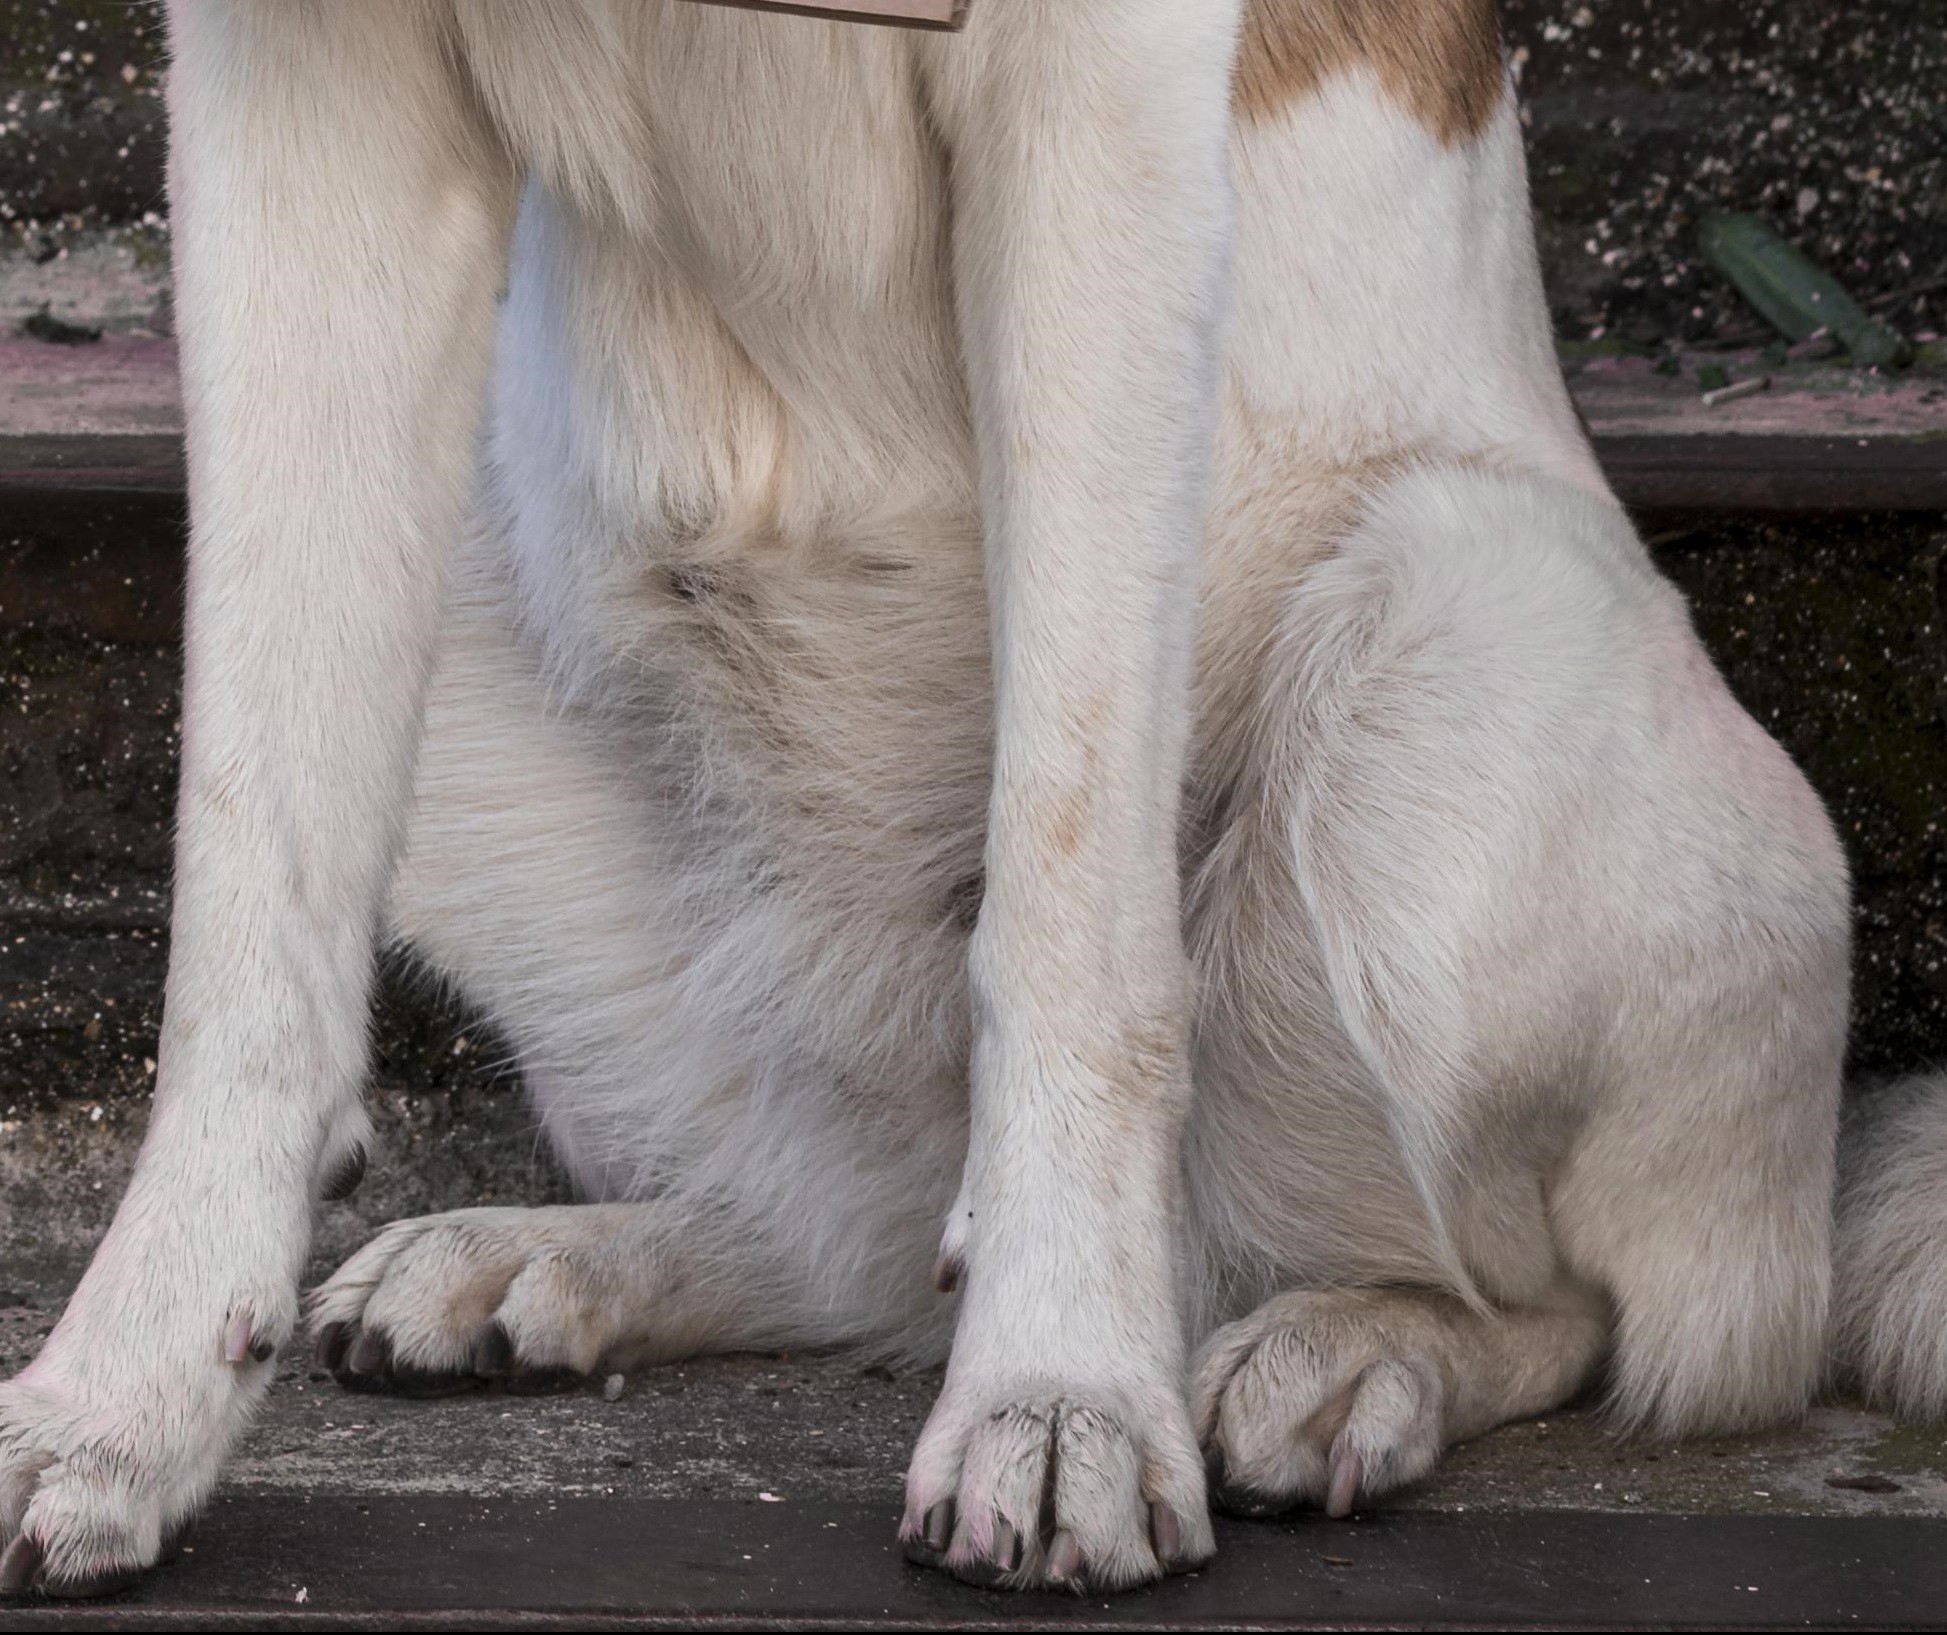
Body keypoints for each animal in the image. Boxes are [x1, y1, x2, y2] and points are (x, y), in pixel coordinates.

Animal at [3, 0, 1947, 1603]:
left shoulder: (1095, 103)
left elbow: (1071, 885)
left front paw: (1061, 1386)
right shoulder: (296, 81)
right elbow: (250, 870)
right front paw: (120, 1401)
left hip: (1443, 625)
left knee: (1608, 1313)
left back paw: (1345, 1355)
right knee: (845, 1241)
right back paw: (554, 1264)